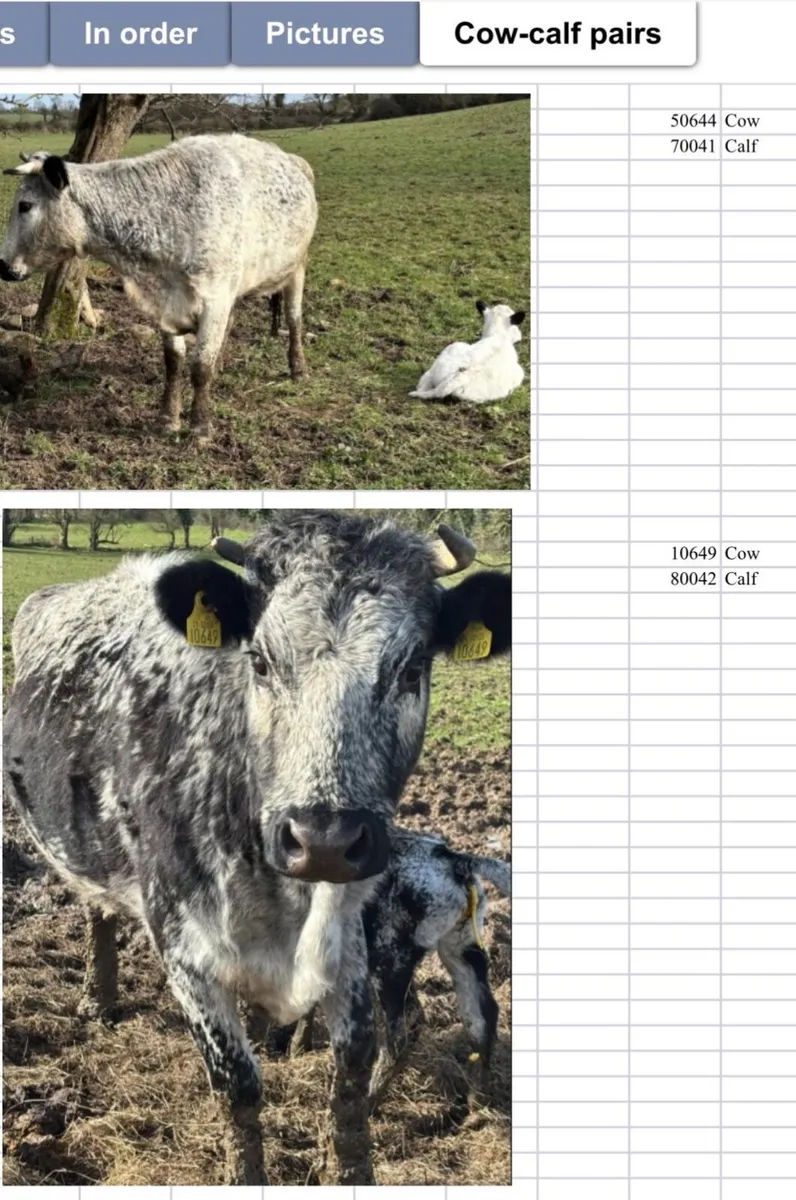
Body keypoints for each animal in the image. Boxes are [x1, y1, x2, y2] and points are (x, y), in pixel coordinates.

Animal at [0, 135, 318, 438]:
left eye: (25, 205)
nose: (2, 264)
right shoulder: (169, 302)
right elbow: (174, 362)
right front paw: (168, 419)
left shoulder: (214, 299)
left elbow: (201, 365)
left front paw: (200, 427)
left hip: (297, 267)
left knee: (293, 318)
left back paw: (298, 367)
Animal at [3, 511, 511, 1185]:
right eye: (262, 662)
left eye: (411, 668)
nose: (325, 841)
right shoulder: (185, 949)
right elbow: (237, 1082)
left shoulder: (352, 936)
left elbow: (353, 1067)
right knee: (95, 906)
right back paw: (97, 999)